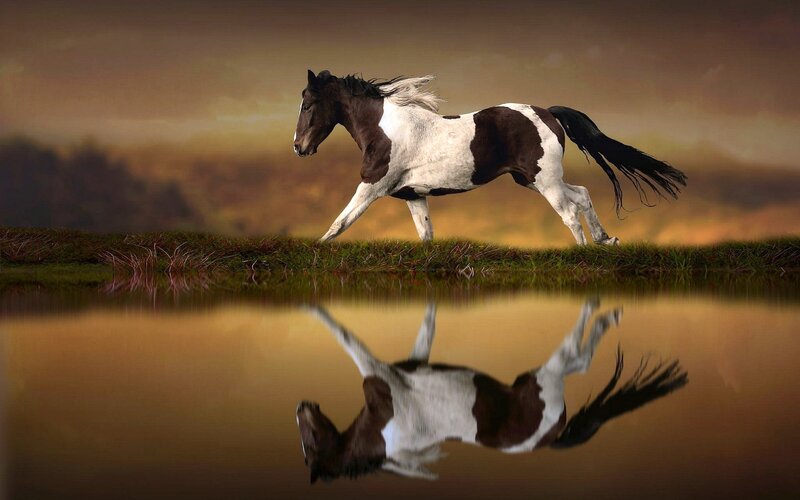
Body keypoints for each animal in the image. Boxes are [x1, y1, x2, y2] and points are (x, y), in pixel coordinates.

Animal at [293, 70, 687, 245]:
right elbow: (426, 235)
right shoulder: (413, 196)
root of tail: (547, 112)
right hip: (532, 179)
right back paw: (606, 240)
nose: (299, 147)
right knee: (583, 195)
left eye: (309, 104)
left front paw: (315, 253)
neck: (386, 128)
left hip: (544, 181)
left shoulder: (372, 186)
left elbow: (340, 224)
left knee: (570, 212)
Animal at [296, 301, 688, 483]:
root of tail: (551, 436)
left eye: (310, 447)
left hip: (542, 378)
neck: (385, 428)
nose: (302, 407)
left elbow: (347, 338)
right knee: (579, 362)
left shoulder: (380, 373)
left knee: (576, 358)